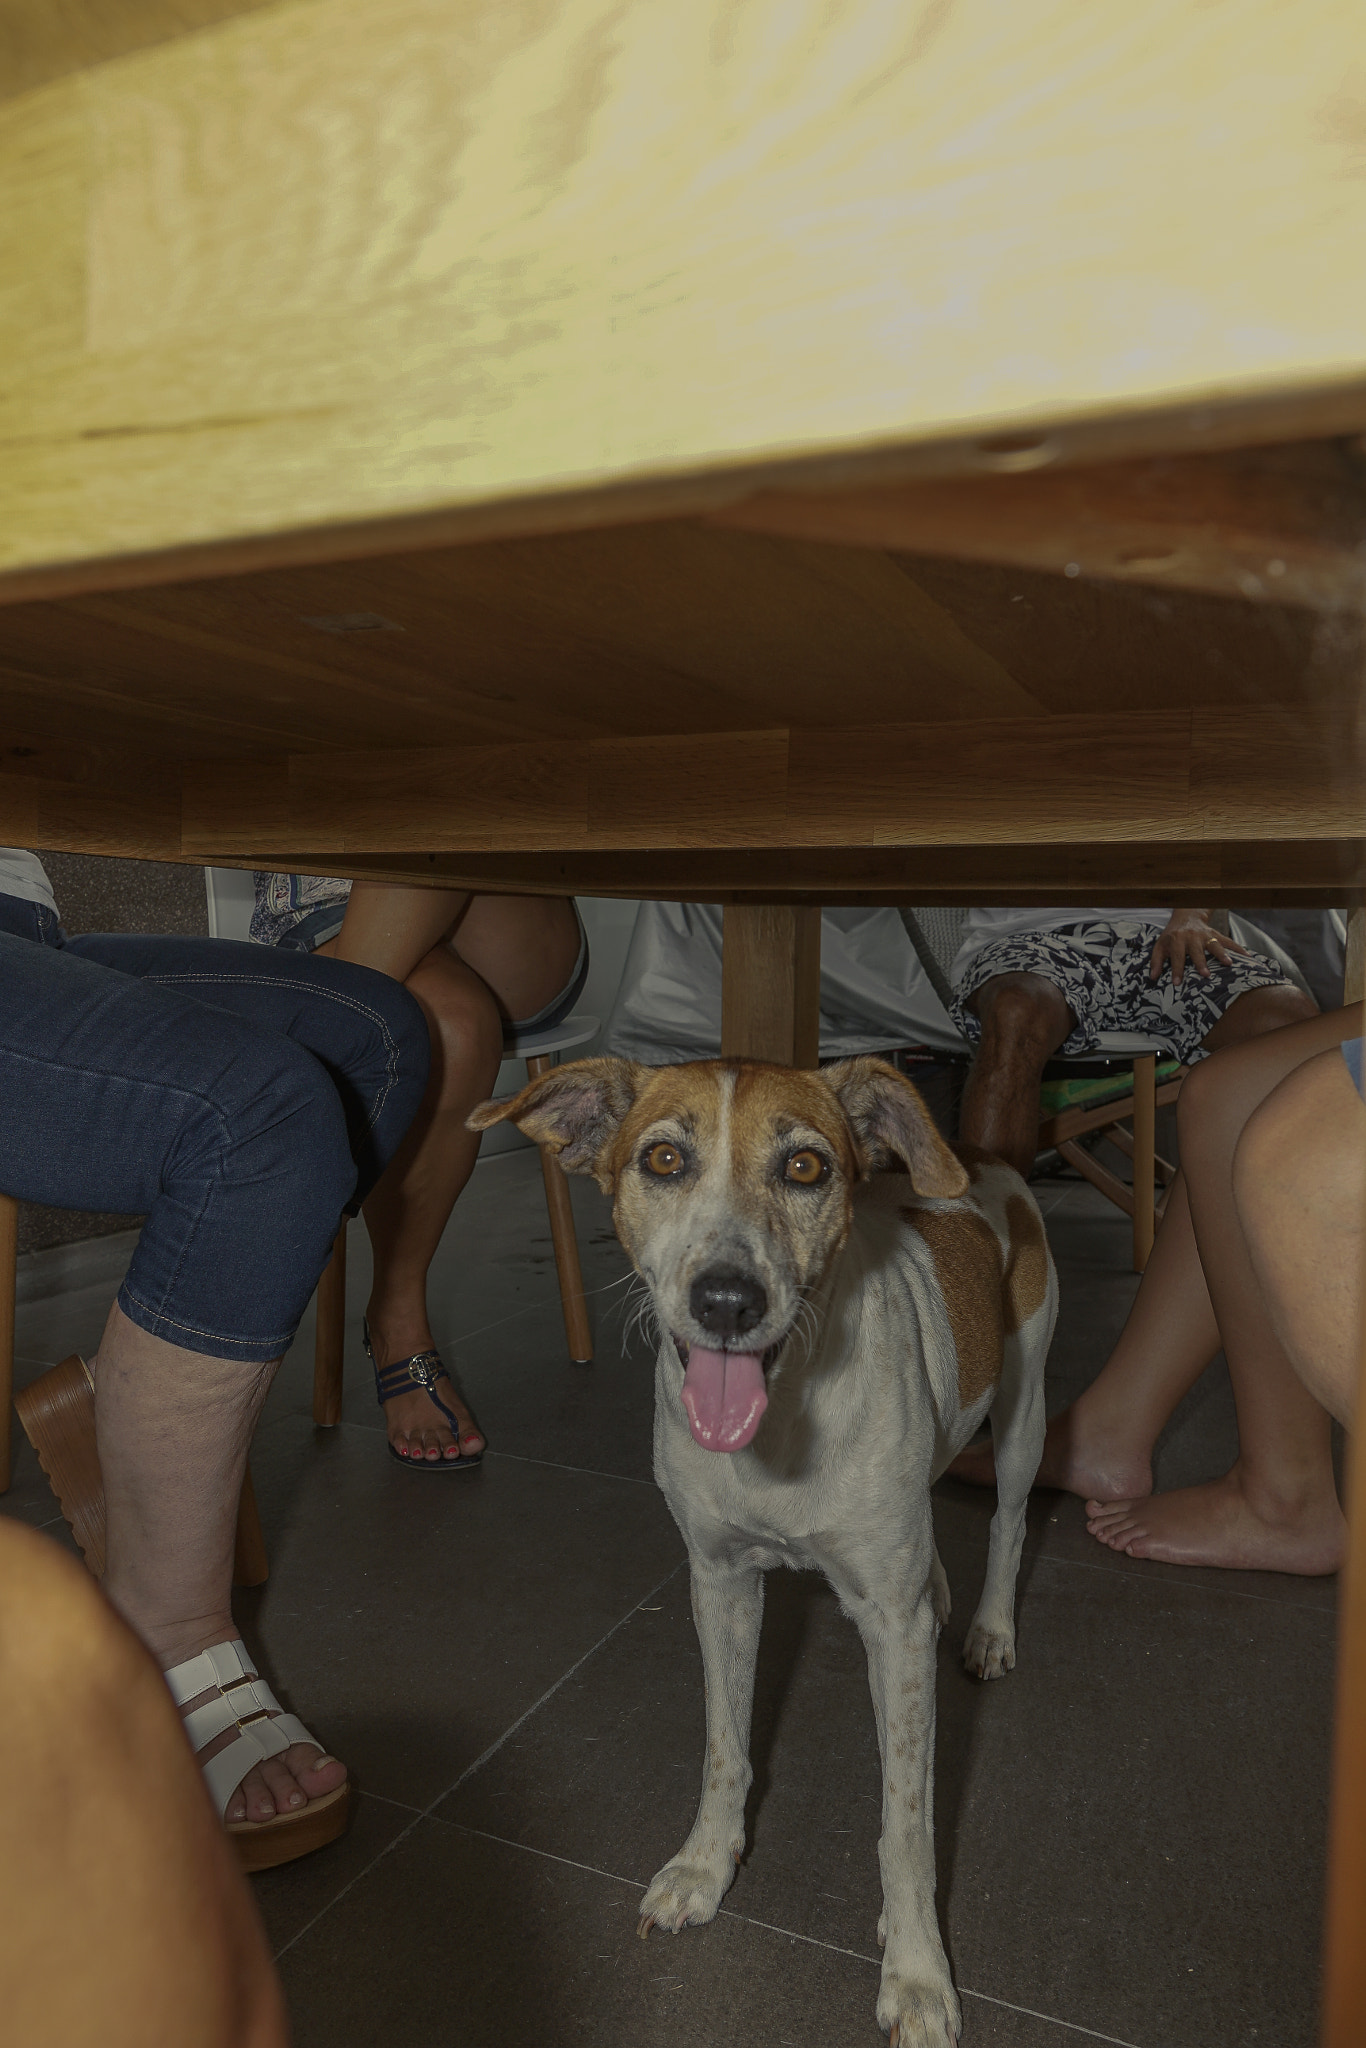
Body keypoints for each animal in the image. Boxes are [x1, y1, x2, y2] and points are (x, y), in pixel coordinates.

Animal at [471, 1048, 1056, 2039]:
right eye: (664, 1159)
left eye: (807, 1166)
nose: (726, 1301)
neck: (781, 1427)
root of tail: (983, 1158)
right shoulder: (720, 1583)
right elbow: (725, 1746)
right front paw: (705, 1867)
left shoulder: (889, 1631)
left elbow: (906, 1821)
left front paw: (916, 1971)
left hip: (1022, 1414)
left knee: (1010, 1524)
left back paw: (989, 1631)